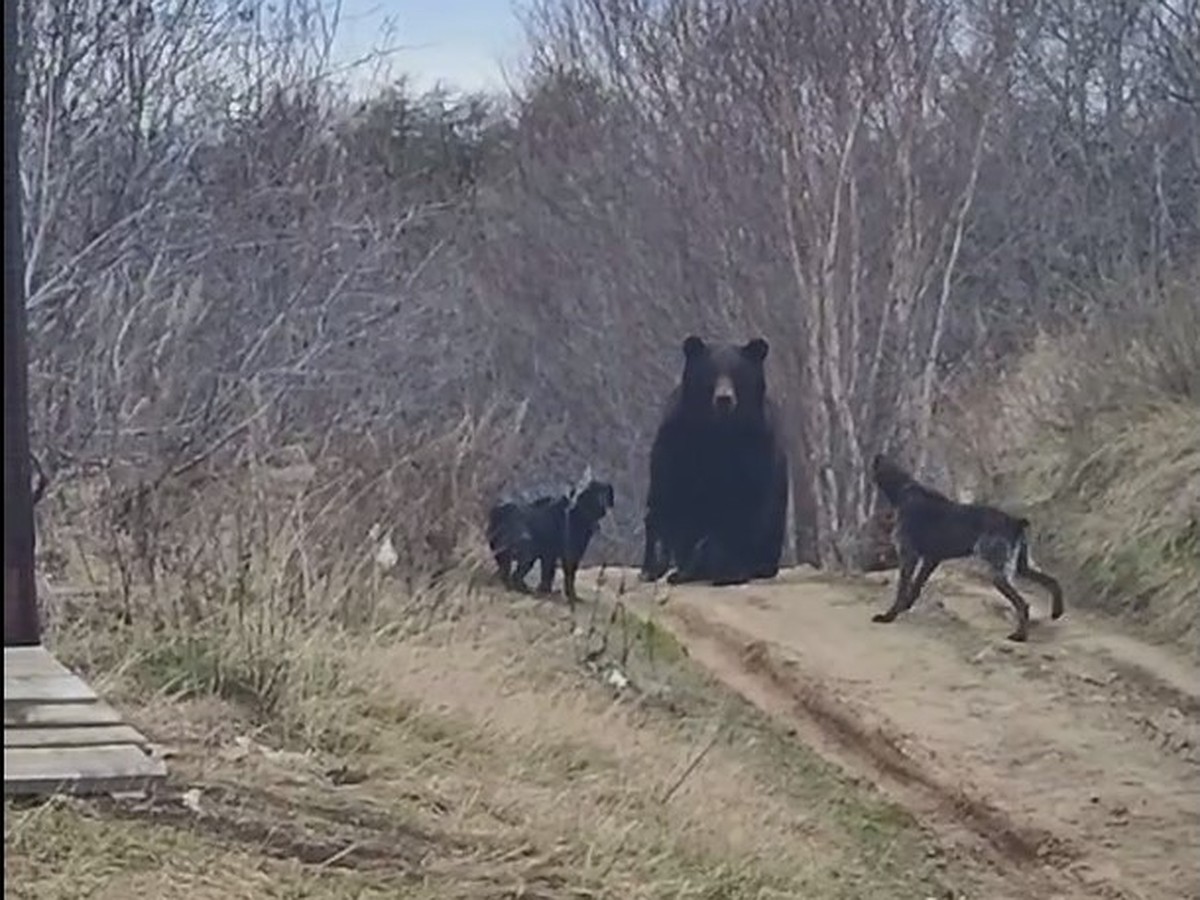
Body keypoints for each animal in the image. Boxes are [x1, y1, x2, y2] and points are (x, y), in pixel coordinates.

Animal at [487, 472, 619, 614]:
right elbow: (568, 576)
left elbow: (548, 573)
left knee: (506, 572)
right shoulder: (570, 555)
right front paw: (571, 596)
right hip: (525, 552)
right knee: (515, 575)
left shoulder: (550, 555)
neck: (578, 511)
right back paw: (523, 589)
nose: (602, 503)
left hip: (502, 552)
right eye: (595, 493)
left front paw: (545, 591)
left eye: (605, 493)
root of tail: (499, 512)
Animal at [638, 336, 787, 585]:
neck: (718, 431)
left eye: (737, 373)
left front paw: (730, 569)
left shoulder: (756, 445)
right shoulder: (676, 440)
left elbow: (747, 503)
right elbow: (666, 495)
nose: (724, 398)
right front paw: (654, 567)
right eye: (711, 372)